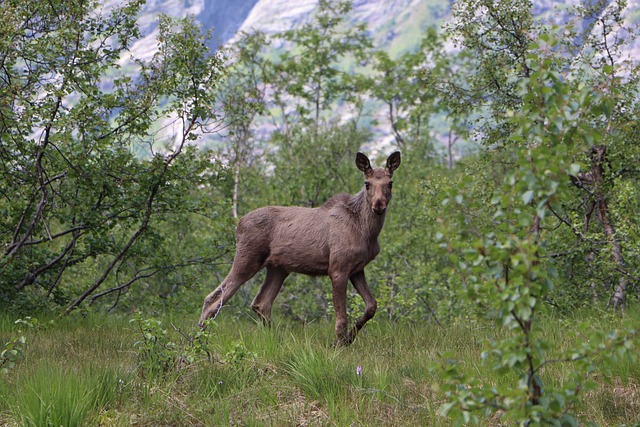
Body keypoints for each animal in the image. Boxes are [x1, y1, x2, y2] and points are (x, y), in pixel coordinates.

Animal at [200, 152, 400, 346]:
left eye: (390, 183)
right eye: (367, 184)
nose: (379, 205)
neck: (366, 231)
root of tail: (238, 225)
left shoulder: (357, 269)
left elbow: (371, 306)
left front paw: (349, 338)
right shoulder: (338, 268)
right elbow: (341, 316)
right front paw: (339, 344)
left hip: (278, 268)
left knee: (261, 303)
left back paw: (277, 342)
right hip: (248, 259)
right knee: (212, 298)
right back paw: (200, 341)